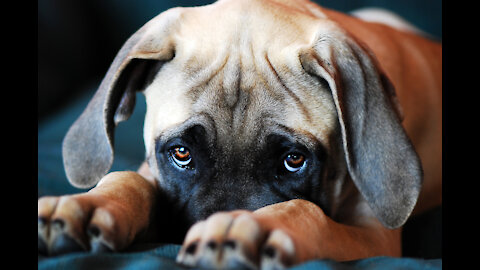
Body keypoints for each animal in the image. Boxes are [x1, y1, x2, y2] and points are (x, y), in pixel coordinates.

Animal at [38, 0, 442, 268]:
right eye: (181, 153)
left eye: (293, 160)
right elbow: (128, 179)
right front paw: (84, 206)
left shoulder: (374, 234)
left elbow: (308, 212)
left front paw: (252, 225)